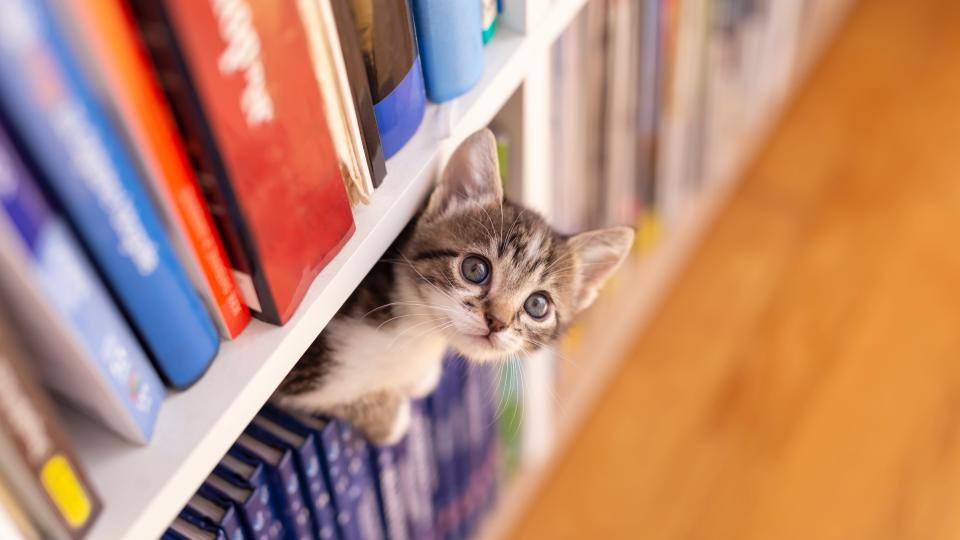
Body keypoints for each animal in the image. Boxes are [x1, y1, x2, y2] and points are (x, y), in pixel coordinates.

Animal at [274, 130, 632, 442]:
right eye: (475, 269)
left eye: (537, 305)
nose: (497, 322)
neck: (417, 334)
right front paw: (389, 416)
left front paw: (417, 382)